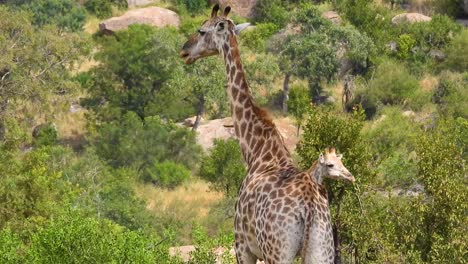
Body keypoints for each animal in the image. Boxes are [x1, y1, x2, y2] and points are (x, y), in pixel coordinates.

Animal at [179, 5, 354, 262]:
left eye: (201, 31)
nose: (184, 51)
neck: (256, 151)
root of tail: (309, 207)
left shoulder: (242, 245)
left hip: (277, 250)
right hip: (322, 249)